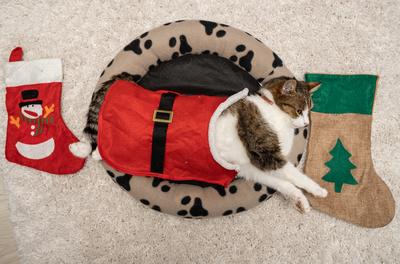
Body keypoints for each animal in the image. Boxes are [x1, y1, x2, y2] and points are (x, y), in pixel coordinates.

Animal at [70, 74, 326, 212]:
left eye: (310, 110)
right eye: (299, 110)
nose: (306, 123)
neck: (272, 110)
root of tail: (116, 84)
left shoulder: (250, 166)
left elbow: (284, 184)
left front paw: (301, 201)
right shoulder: (267, 155)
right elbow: (296, 176)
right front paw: (319, 191)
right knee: (98, 143)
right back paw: (82, 149)